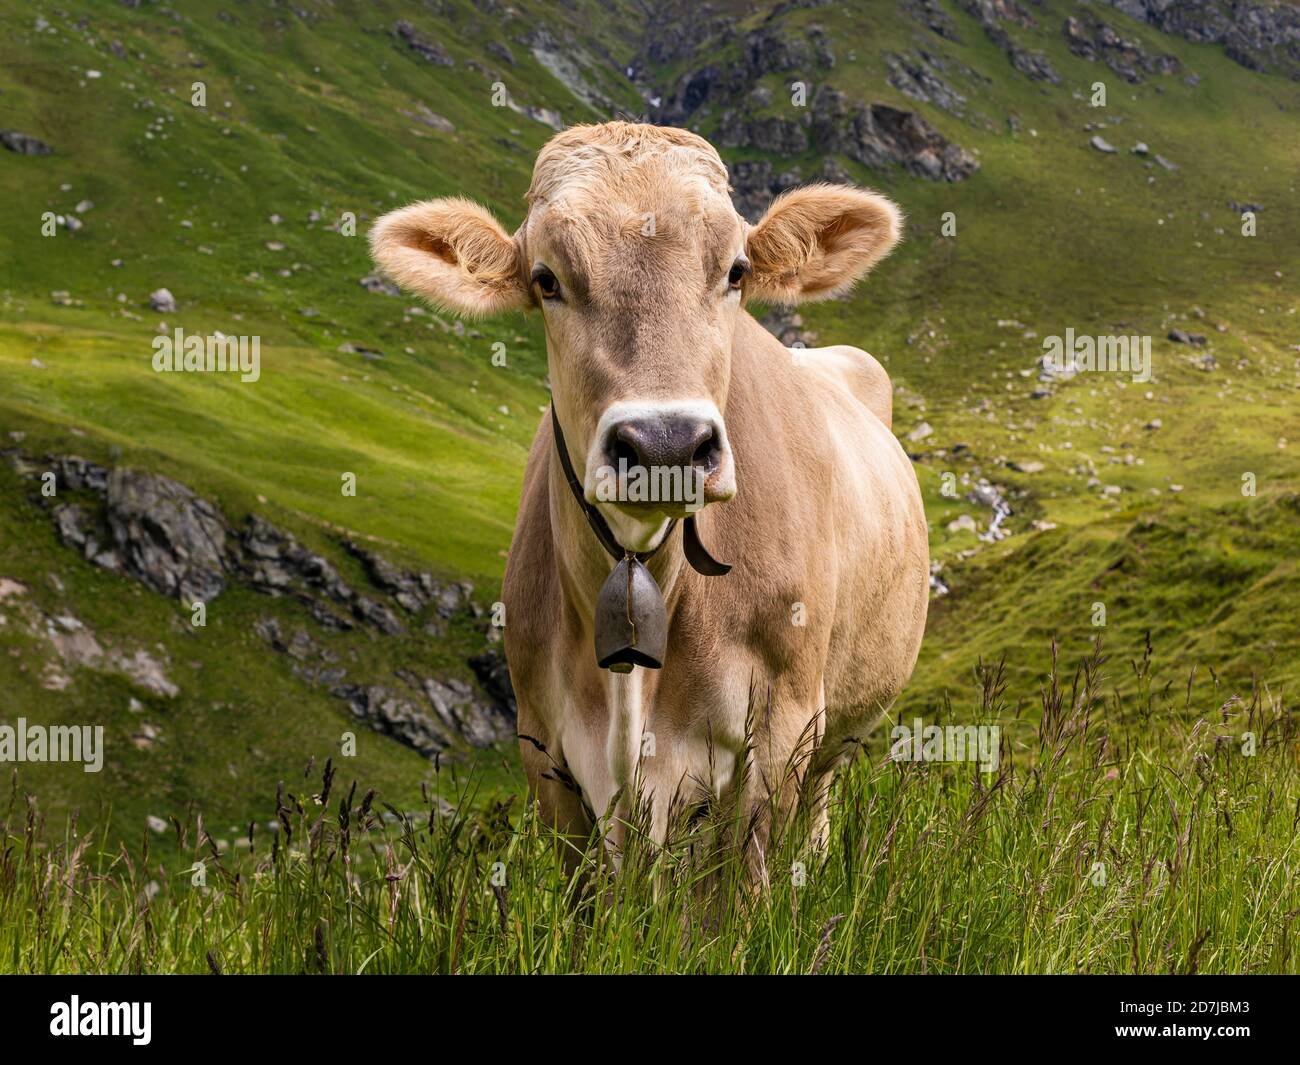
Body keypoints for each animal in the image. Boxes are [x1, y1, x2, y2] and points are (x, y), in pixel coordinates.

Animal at [370, 121, 929, 865]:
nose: (667, 444)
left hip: (835, 732)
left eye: (736, 271)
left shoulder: (779, 729)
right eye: (546, 279)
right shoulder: (544, 747)